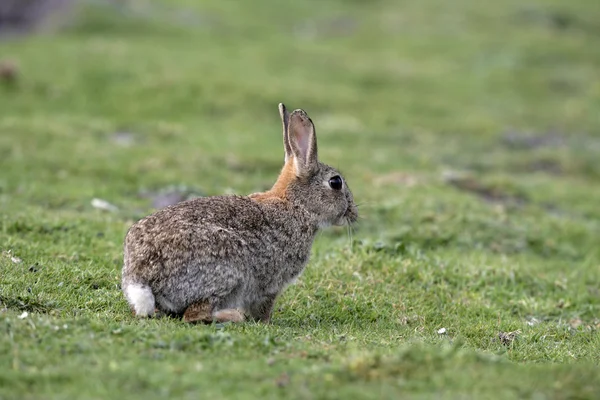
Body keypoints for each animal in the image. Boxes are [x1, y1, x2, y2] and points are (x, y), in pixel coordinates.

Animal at [120, 102, 356, 322]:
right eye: (335, 183)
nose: (353, 213)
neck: (296, 204)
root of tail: (141, 277)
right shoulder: (271, 285)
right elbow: (263, 308)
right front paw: (265, 322)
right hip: (228, 271)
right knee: (195, 314)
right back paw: (231, 317)